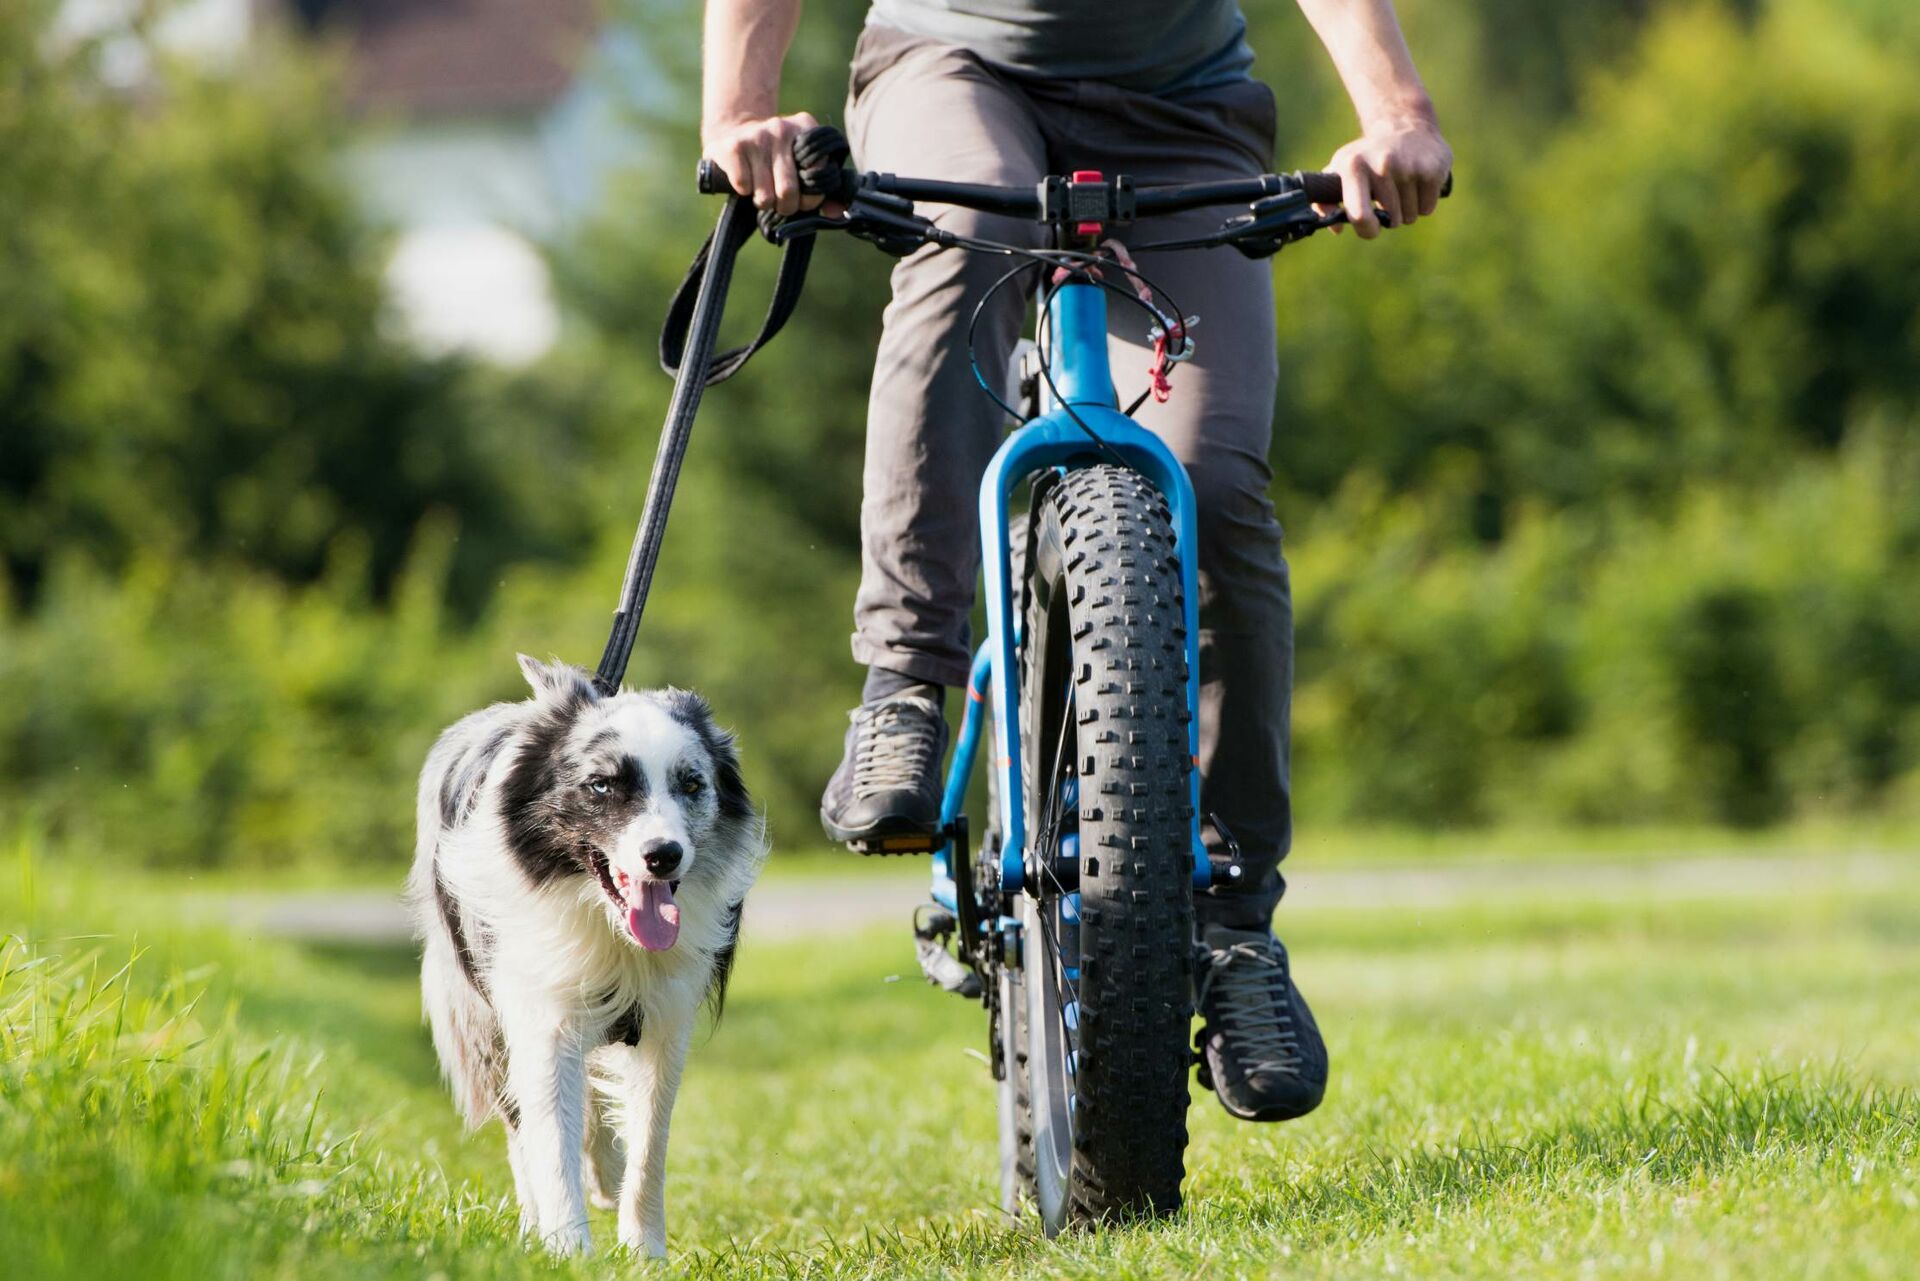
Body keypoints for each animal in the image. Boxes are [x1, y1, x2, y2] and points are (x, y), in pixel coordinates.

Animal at [410, 656, 764, 1259]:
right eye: (602, 785)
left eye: (692, 784)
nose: (664, 855)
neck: (608, 925)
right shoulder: (539, 1010)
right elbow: (550, 1136)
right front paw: (567, 1250)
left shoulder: (665, 1020)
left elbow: (650, 1144)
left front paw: (645, 1253)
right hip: (479, 1014)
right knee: (521, 1128)